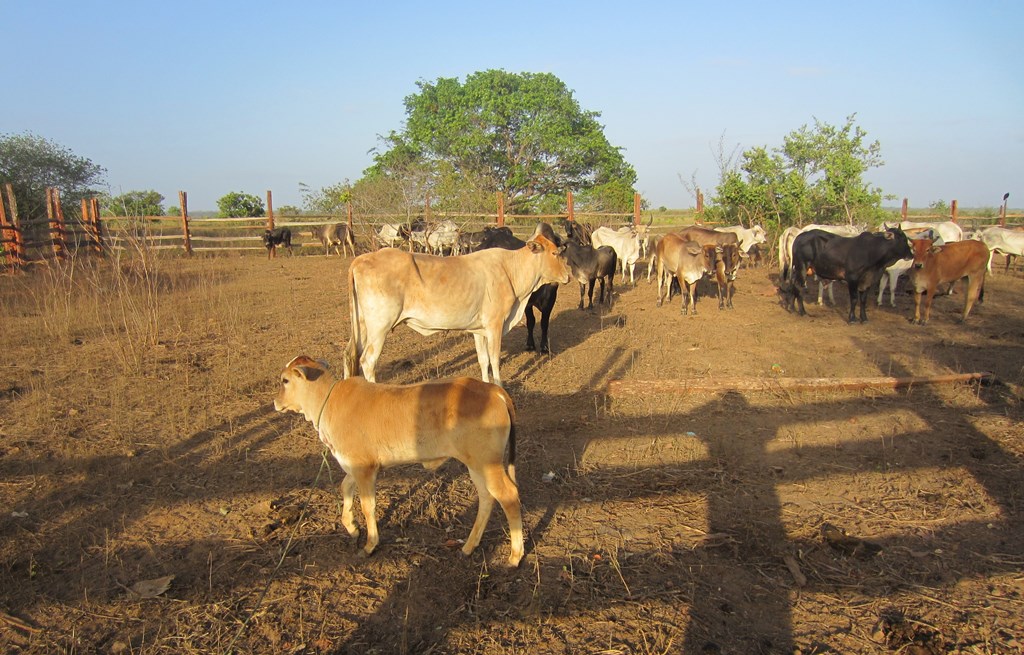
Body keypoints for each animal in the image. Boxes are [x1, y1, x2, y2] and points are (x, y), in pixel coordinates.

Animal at [274, 356, 524, 564]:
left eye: (285, 380)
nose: (275, 402)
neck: (328, 402)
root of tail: (492, 389)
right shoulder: (357, 465)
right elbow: (344, 487)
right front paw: (351, 526)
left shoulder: (364, 469)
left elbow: (367, 506)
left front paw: (370, 545)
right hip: (476, 465)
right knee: (487, 498)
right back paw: (469, 546)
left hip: (487, 464)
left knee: (509, 496)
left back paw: (515, 555)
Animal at [477, 223, 565, 352]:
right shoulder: (527, 302)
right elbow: (531, 321)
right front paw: (530, 344)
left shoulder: (550, 300)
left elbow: (544, 323)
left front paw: (544, 346)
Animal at [782, 227, 913, 325]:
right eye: (903, 239)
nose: (911, 255)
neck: (872, 252)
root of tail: (799, 237)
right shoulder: (853, 279)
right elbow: (854, 299)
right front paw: (852, 318)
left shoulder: (868, 280)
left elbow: (863, 300)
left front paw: (864, 318)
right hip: (802, 267)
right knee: (798, 287)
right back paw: (803, 312)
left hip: (798, 269)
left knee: (793, 285)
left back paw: (791, 308)